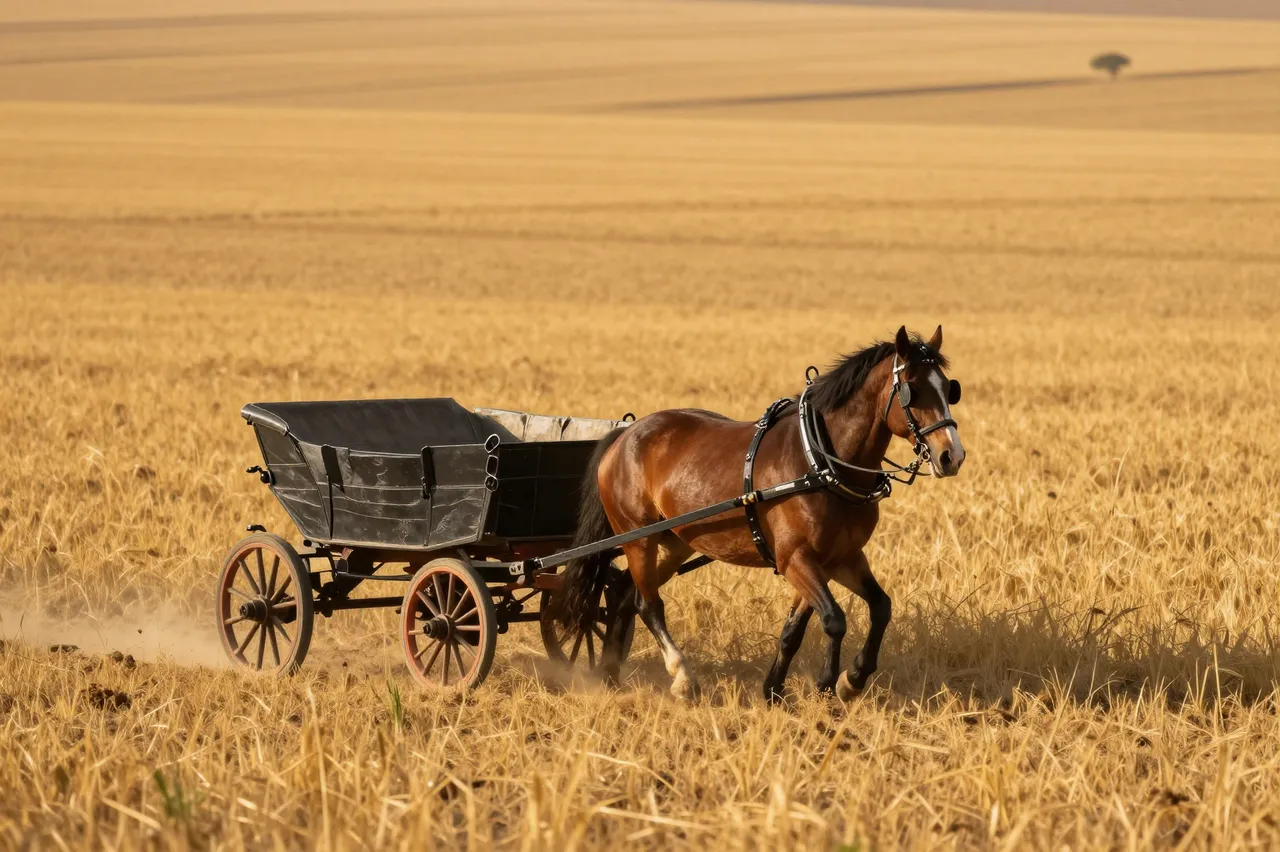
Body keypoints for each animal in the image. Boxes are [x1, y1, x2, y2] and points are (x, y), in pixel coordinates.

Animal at [554, 325, 965, 702]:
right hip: (638, 537)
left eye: (949, 388)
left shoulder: (838, 558)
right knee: (648, 603)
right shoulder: (795, 558)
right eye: (910, 388)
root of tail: (625, 435)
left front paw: (808, 685)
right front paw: (829, 683)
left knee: (625, 594)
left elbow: (860, 613)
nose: (952, 456)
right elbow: (834, 619)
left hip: (674, 542)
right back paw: (682, 677)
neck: (820, 462)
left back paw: (610, 675)